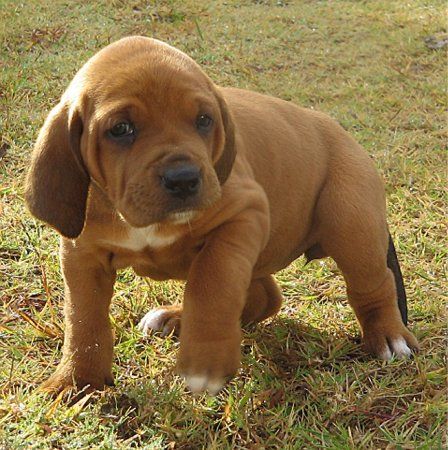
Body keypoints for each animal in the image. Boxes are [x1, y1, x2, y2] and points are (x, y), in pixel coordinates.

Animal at [24, 37, 418, 396]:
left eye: (203, 120)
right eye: (120, 129)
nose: (183, 178)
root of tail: (341, 131)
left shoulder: (242, 217)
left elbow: (211, 285)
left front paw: (205, 362)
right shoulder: (83, 254)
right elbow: (83, 320)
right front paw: (76, 380)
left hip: (352, 222)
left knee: (373, 284)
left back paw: (388, 336)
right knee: (265, 296)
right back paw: (176, 318)